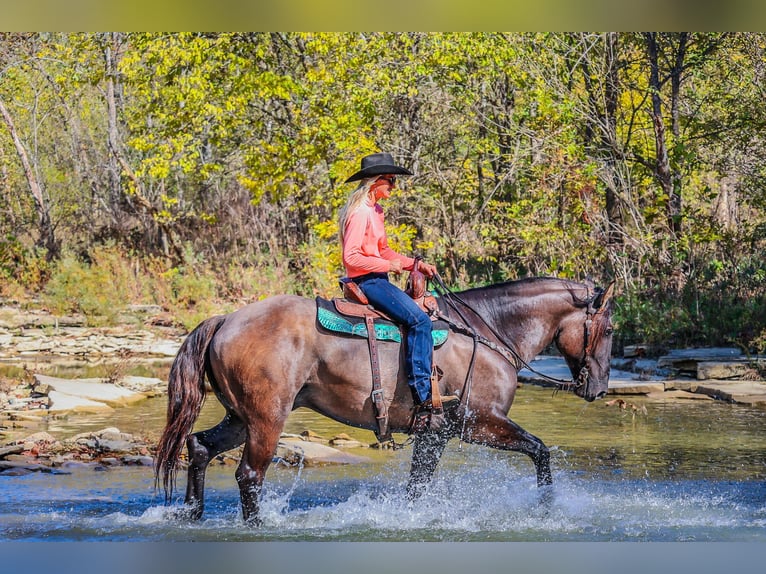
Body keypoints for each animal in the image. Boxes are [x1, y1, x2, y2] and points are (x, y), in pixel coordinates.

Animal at [155, 276, 615, 525]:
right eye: (609, 329)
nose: (598, 387)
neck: (488, 331)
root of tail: (226, 320)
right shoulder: (480, 422)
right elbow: (540, 451)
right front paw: (547, 508)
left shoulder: (436, 434)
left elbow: (417, 486)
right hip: (267, 419)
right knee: (250, 475)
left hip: (240, 417)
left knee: (200, 447)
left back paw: (191, 514)